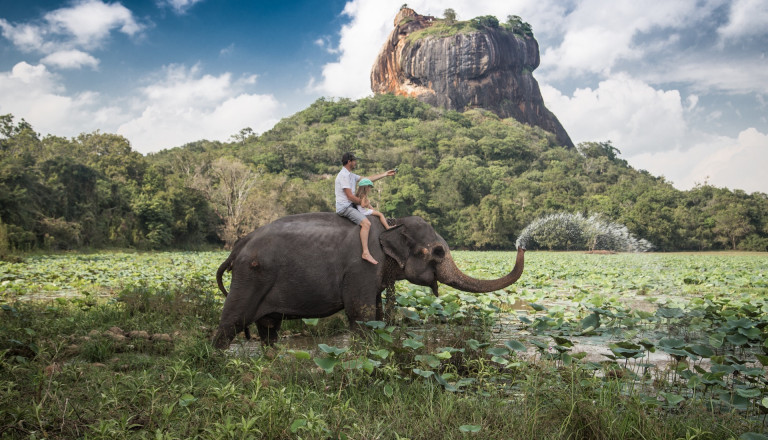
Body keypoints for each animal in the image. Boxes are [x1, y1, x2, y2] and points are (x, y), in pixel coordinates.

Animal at [210, 211, 524, 348]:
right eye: (437, 252)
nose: (522, 244)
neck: (392, 225)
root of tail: (238, 246)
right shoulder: (362, 266)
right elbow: (360, 314)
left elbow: (375, 314)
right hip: (249, 277)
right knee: (231, 323)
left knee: (268, 329)